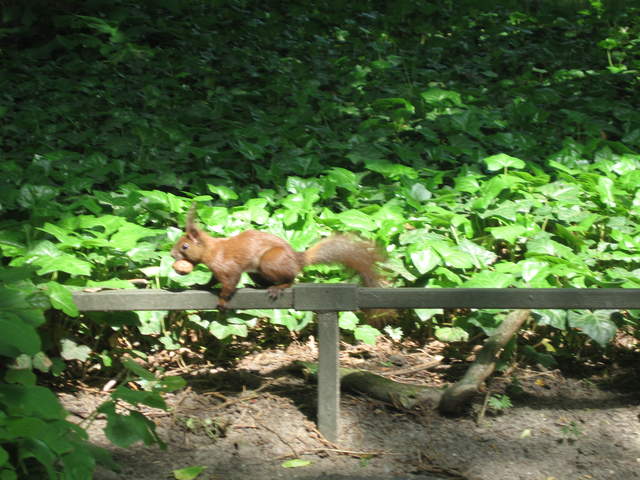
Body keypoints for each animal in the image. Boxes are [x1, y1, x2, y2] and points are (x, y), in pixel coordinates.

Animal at [171, 206, 382, 309]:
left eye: (185, 246)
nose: (172, 254)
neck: (212, 250)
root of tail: (297, 260)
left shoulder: (227, 266)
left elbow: (229, 283)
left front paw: (222, 301)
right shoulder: (216, 270)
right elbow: (212, 280)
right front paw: (201, 286)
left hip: (270, 261)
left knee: (291, 279)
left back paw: (278, 287)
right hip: (258, 271)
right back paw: (258, 286)